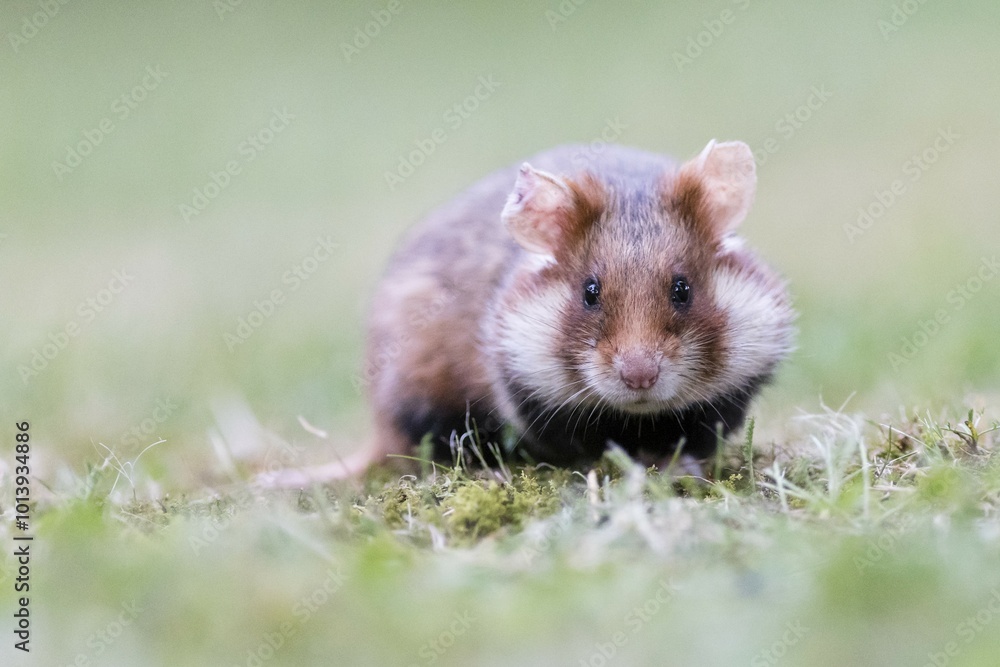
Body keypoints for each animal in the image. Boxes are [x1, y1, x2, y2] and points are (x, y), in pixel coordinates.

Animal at [268, 140, 794, 485]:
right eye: (590, 292)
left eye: (683, 289)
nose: (639, 377)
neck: (636, 417)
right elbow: (584, 449)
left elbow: (695, 441)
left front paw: (675, 467)